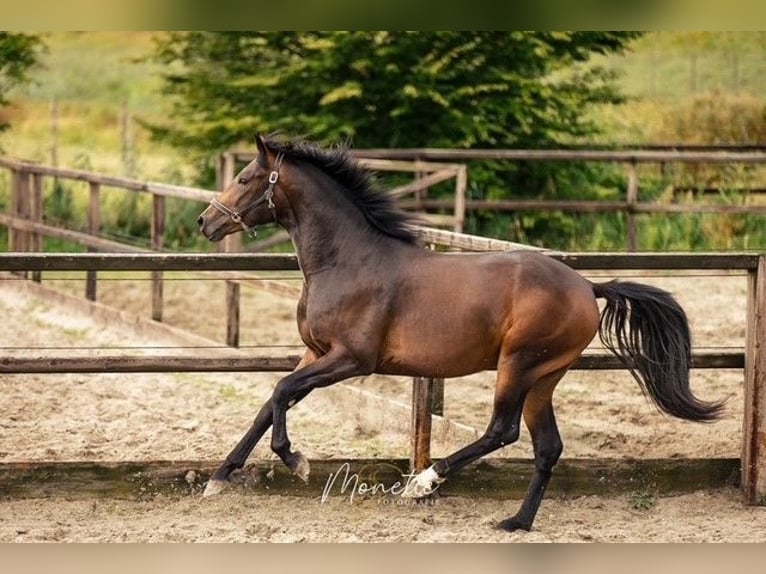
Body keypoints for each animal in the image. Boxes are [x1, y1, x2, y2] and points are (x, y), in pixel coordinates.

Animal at [195, 136, 724, 536]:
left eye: (244, 179)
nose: (205, 221)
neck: (346, 261)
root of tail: (587, 286)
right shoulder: (315, 354)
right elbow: (271, 401)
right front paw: (219, 477)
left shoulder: (351, 359)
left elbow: (281, 392)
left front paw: (296, 461)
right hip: (545, 376)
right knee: (547, 447)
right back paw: (516, 522)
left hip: (518, 364)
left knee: (502, 430)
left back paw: (423, 483)